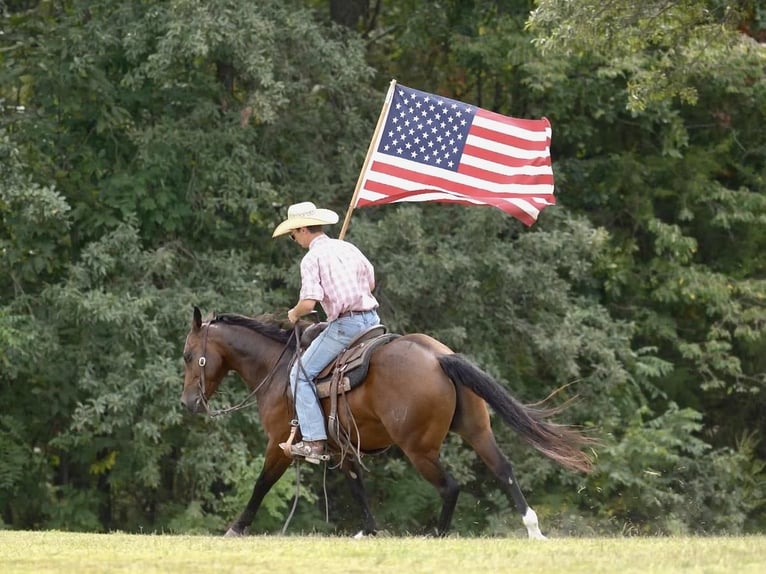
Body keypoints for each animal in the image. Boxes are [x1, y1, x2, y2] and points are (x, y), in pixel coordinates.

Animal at [183, 308, 596, 536]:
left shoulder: (280, 444)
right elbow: (356, 485)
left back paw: (437, 535)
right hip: (477, 430)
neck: (278, 367)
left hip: (418, 448)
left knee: (450, 487)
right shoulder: (342, 446)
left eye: (188, 355)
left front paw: (236, 528)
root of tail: (439, 358)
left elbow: (261, 484)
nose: (188, 403)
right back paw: (533, 530)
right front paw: (368, 530)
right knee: (503, 469)